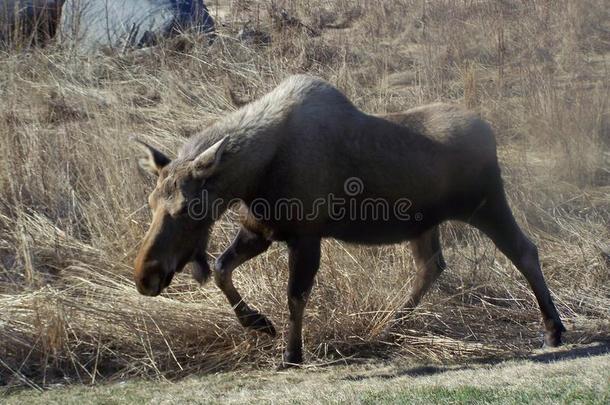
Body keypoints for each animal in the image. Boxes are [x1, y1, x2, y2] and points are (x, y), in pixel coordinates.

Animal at [133, 74, 564, 364]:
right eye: (151, 201)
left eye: (188, 207)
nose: (145, 275)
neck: (253, 178)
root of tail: (490, 131)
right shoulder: (261, 229)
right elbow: (223, 268)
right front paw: (258, 323)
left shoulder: (305, 235)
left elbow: (295, 295)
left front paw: (292, 354)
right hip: (425, 223)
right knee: (431, 266)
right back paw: (390, 326)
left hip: (486, 204)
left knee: (524, 250)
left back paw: (553, 330)